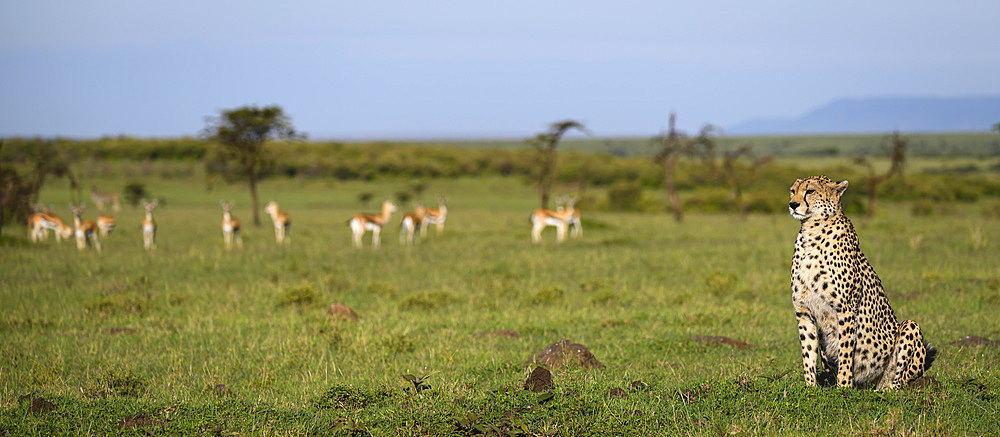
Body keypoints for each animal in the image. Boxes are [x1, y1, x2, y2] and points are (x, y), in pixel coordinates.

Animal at [788, 175, 936, 388]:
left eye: (810, 191)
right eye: (793, 191)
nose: (793, 204)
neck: (811, 231)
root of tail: (869, 385)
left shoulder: (846, 309)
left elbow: (845, 351)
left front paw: (843, 387)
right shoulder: (803, 311)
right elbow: (808, 353)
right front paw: (810, 387)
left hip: (909, 328)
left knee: (898, 381)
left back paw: (885, 389)